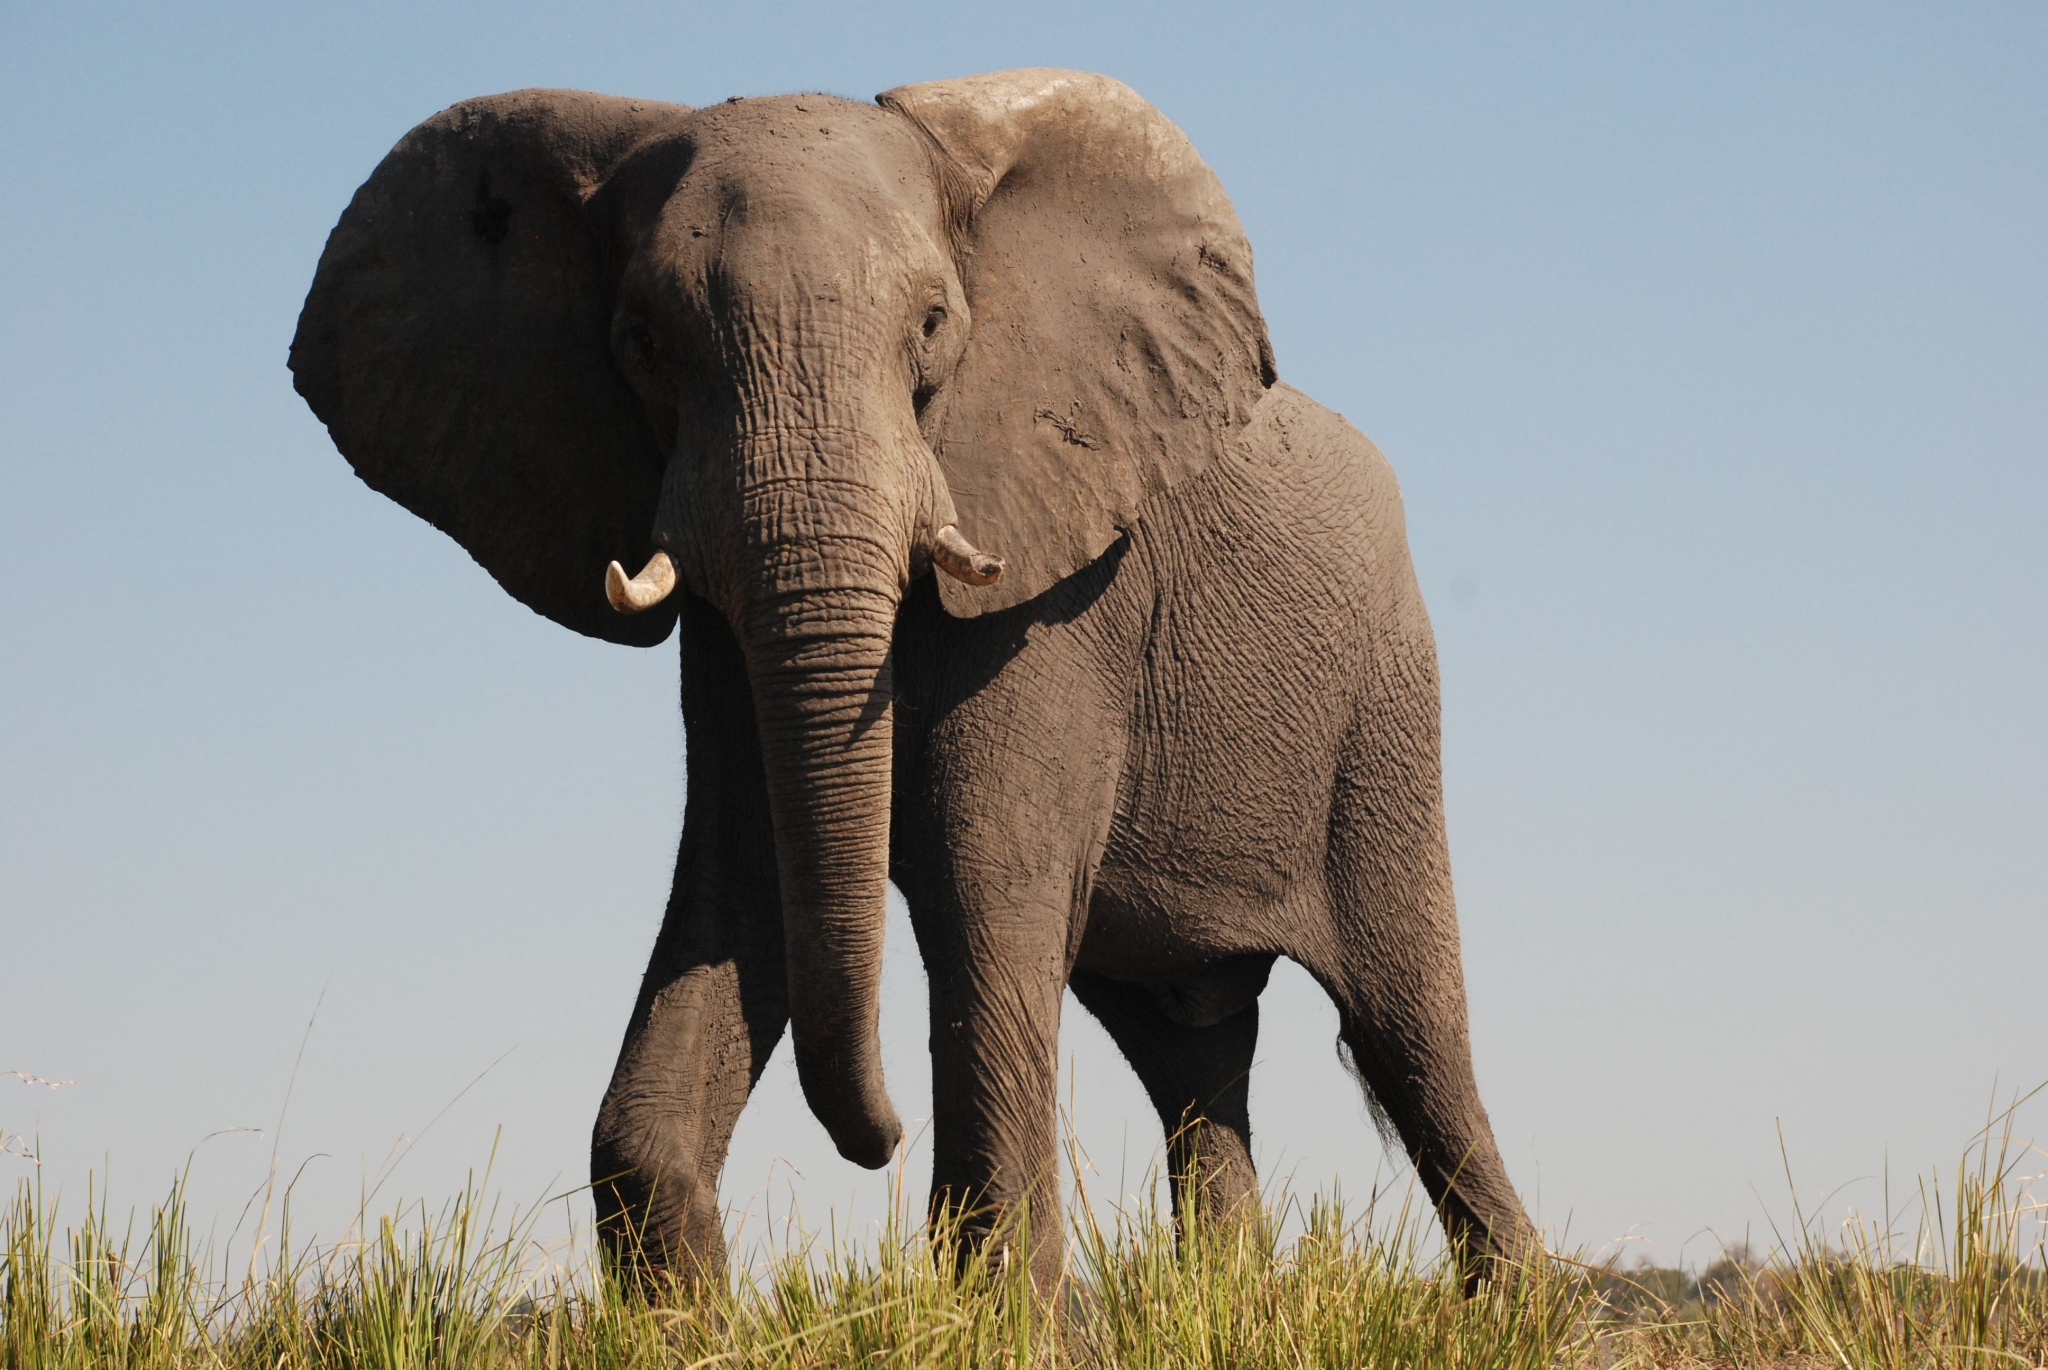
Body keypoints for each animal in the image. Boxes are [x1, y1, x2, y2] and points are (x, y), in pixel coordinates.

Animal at [290, 67, 1532, 1289]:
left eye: (933, 327)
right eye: (640, 340)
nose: (873, 1142)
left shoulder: (1058, 589)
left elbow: (979, 882)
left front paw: (1001, 1310)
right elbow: (747, 877)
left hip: (1383, 710)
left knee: (1409, 1028)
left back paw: (1518, 1304)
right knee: (1193, 1050)